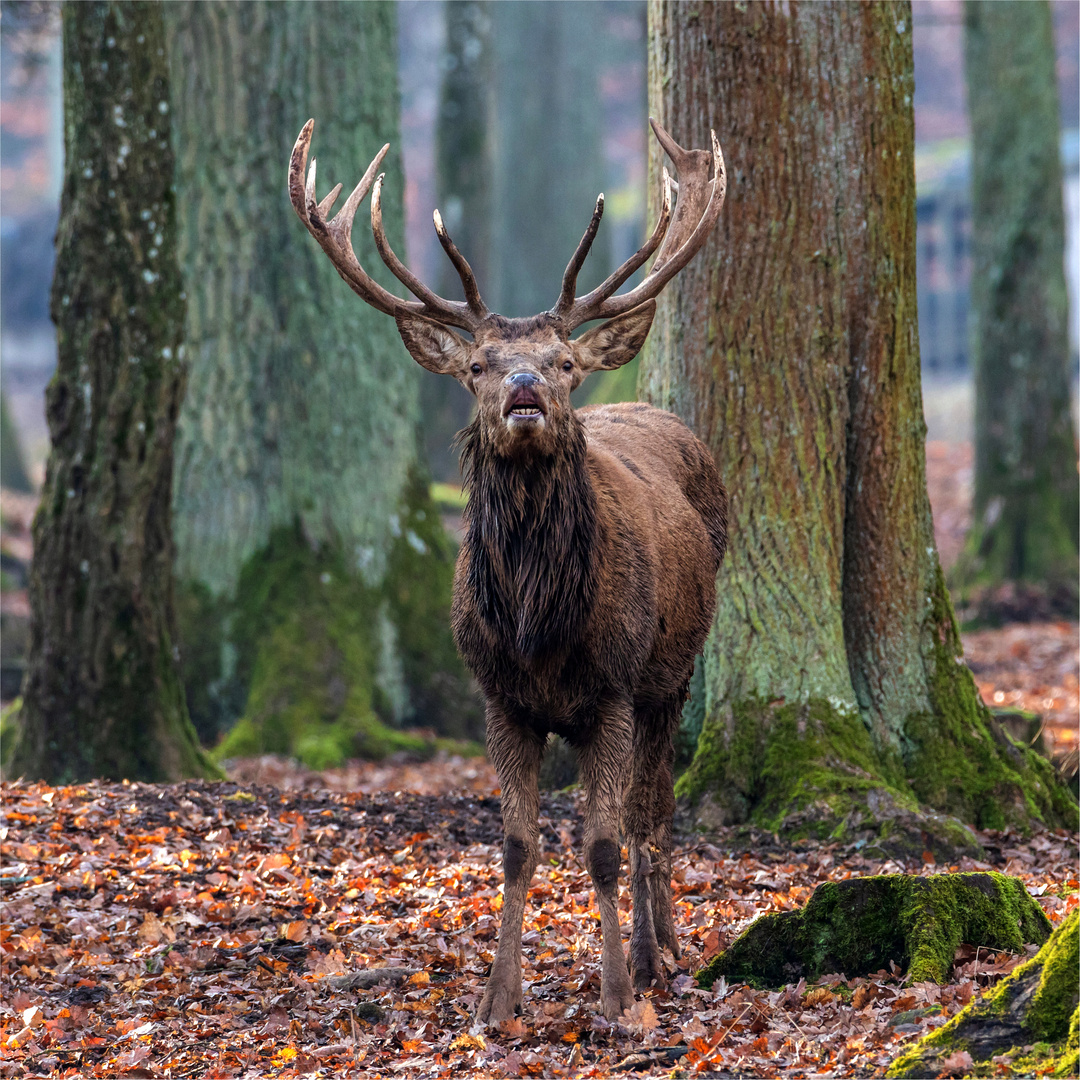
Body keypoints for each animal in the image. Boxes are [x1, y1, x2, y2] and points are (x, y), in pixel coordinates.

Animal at [289, 116, 725, 1019]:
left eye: (563, 363)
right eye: (478, 366)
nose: (524, 387)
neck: (537, 625)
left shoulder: (613, 688)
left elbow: (602, 843)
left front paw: (616, 1000)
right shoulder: (497, 698)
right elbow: (518, 847)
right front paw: (497, 1001)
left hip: (675, 669)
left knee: (655, 811)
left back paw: (659, 954)